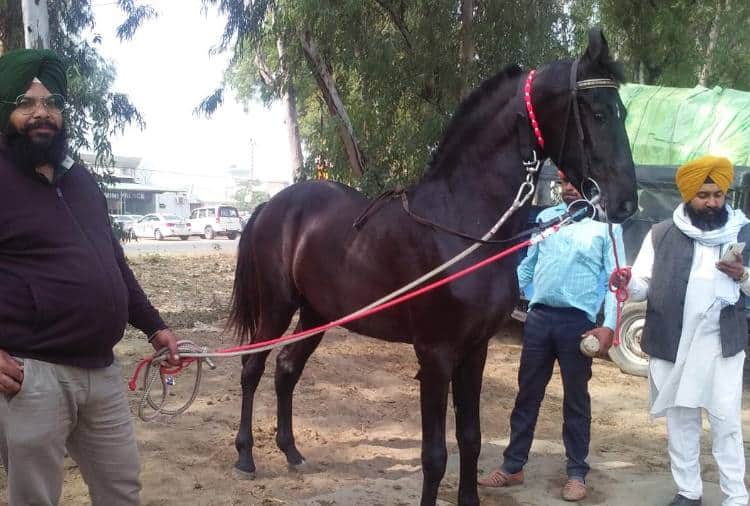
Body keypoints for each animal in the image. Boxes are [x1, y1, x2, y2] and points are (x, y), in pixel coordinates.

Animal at [227, 28, 637, 506]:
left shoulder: (474, 350)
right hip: (277, 306)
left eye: (622, 111)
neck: (462, 220)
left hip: (317, 313)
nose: (626, 202)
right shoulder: (436, 354)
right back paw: (245, 457)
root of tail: (272, 204)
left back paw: (291, 451)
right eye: (598, 113)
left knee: (287, 368)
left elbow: (471, 438)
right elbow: (435, 454)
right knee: (252, 366)